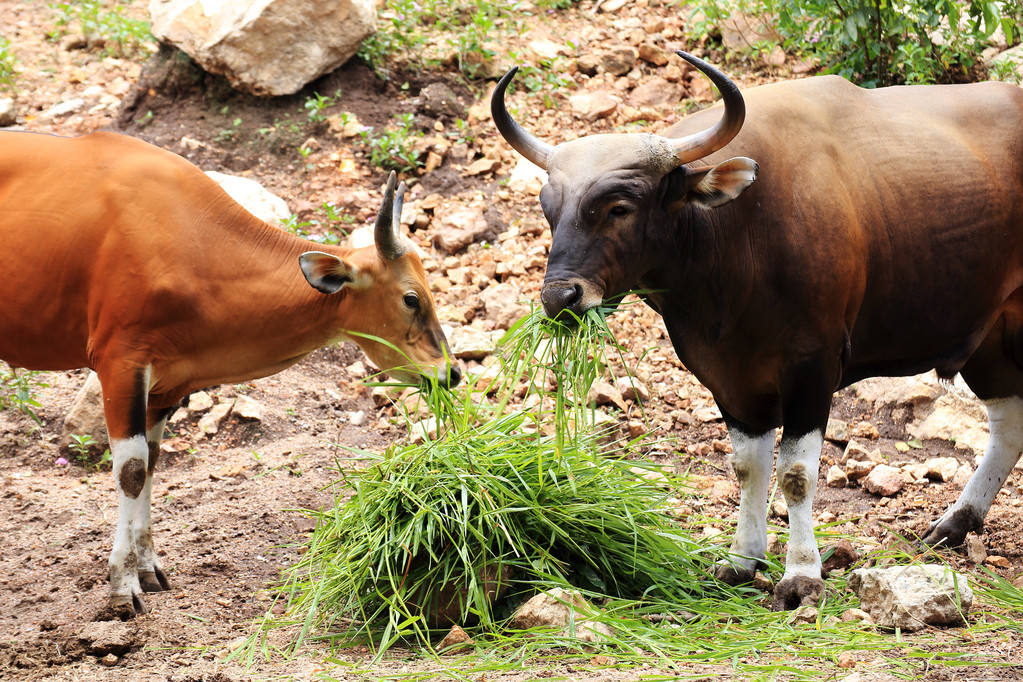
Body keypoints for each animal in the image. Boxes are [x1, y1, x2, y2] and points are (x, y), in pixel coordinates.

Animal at [0, 130, 460, 621]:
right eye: (411, 298)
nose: (450, 373)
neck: (193, 242)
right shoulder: (119, 360)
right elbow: (132, 470)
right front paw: (122, 588)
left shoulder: (167, 383)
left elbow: (153, 461)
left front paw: (147, 569)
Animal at [493, 52, 1023, 609]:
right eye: (549, 210)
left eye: (620, 207)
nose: (560, 298)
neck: (736, 245)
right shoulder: (728, 376)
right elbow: (749, 466)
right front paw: (743, 559)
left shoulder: (813, 366)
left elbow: (795, 472)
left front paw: (802, 574)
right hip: (988, 339)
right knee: (1009, 423)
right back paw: (957, 522)